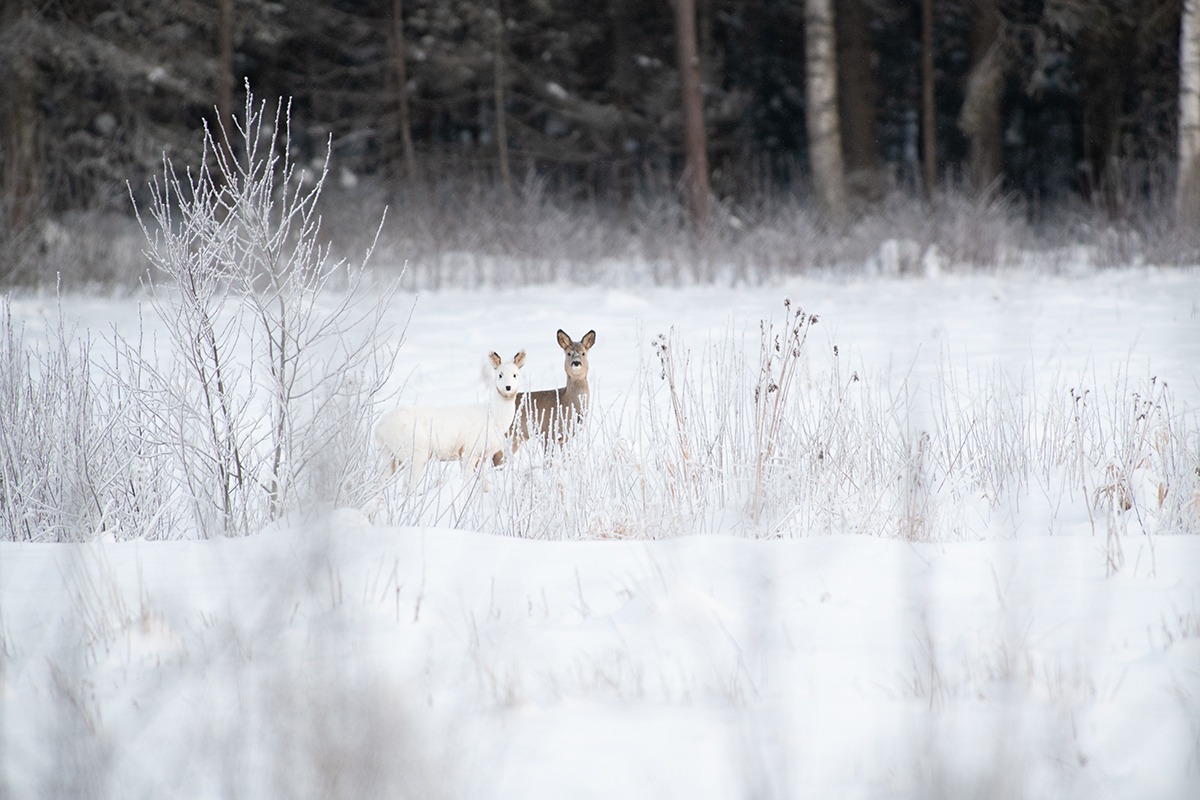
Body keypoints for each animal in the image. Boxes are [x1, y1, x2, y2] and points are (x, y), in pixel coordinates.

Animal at [374, 352, 525, 494]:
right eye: (500, 375)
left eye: (515, 375)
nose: (508, 387)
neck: (494, 418)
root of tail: (379, 428)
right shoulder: (468, 451)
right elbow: (467, 479)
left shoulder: (484, 454)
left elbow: (486, 482)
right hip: (415, 453)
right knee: (407, 488)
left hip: (390, 454)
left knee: (380, 480)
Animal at [494, 326, 592, 462]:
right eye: (568, 353)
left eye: (583, 353)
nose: (576, 362)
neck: (566, 401)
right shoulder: (547, 432)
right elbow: (547, 462)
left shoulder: (566, 438)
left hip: (515, 439)